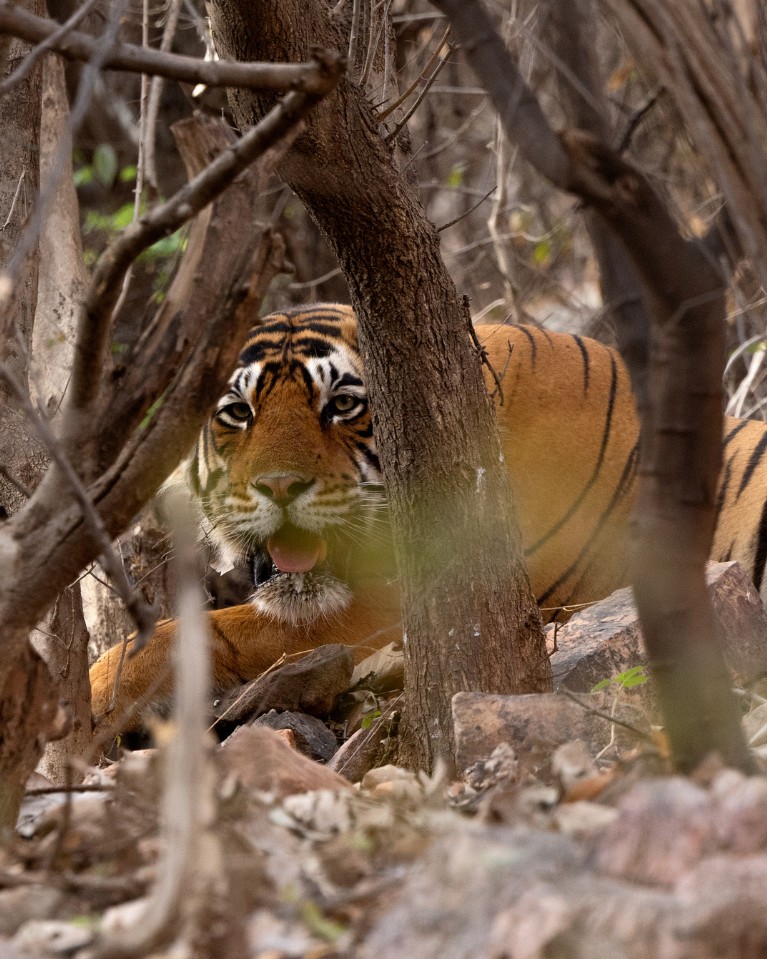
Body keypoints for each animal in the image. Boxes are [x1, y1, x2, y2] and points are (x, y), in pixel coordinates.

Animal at [89, 303, 767, 731]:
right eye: (238, 411)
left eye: (341, 404)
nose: (279, 486)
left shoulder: (394, 607)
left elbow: (200, 632)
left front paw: (93, 696)